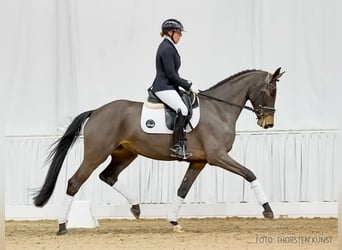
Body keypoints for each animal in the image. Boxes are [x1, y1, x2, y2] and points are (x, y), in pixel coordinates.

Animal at [32, 67, 284, 234]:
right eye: (271, 90)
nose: (268, 123)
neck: (219, 109)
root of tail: (96, 111)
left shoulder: (199, 161)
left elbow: (182, 190)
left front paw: (173, 221)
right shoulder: (217, 156)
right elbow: (250, 173)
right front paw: (268, 210)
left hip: (125, 153)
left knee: (108, 176)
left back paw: (136, 208)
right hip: (96, 154)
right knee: (74, 182)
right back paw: (62, 227)